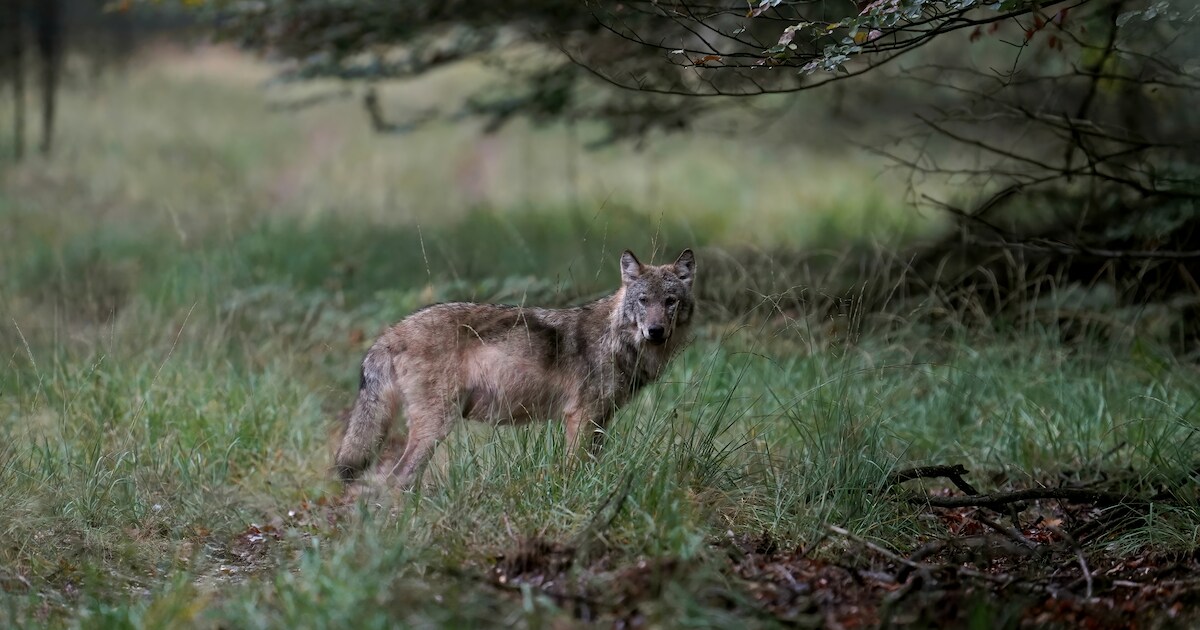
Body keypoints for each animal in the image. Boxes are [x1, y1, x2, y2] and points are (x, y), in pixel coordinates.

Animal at [334, 248, 697, 490]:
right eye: (643, 300)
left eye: (670, 301)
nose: (655, 331)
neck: (616, 340)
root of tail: (391, 332)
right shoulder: (580, 417)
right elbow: (574, 469)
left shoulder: (600, 420)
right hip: (436, 426)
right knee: (398, 479)